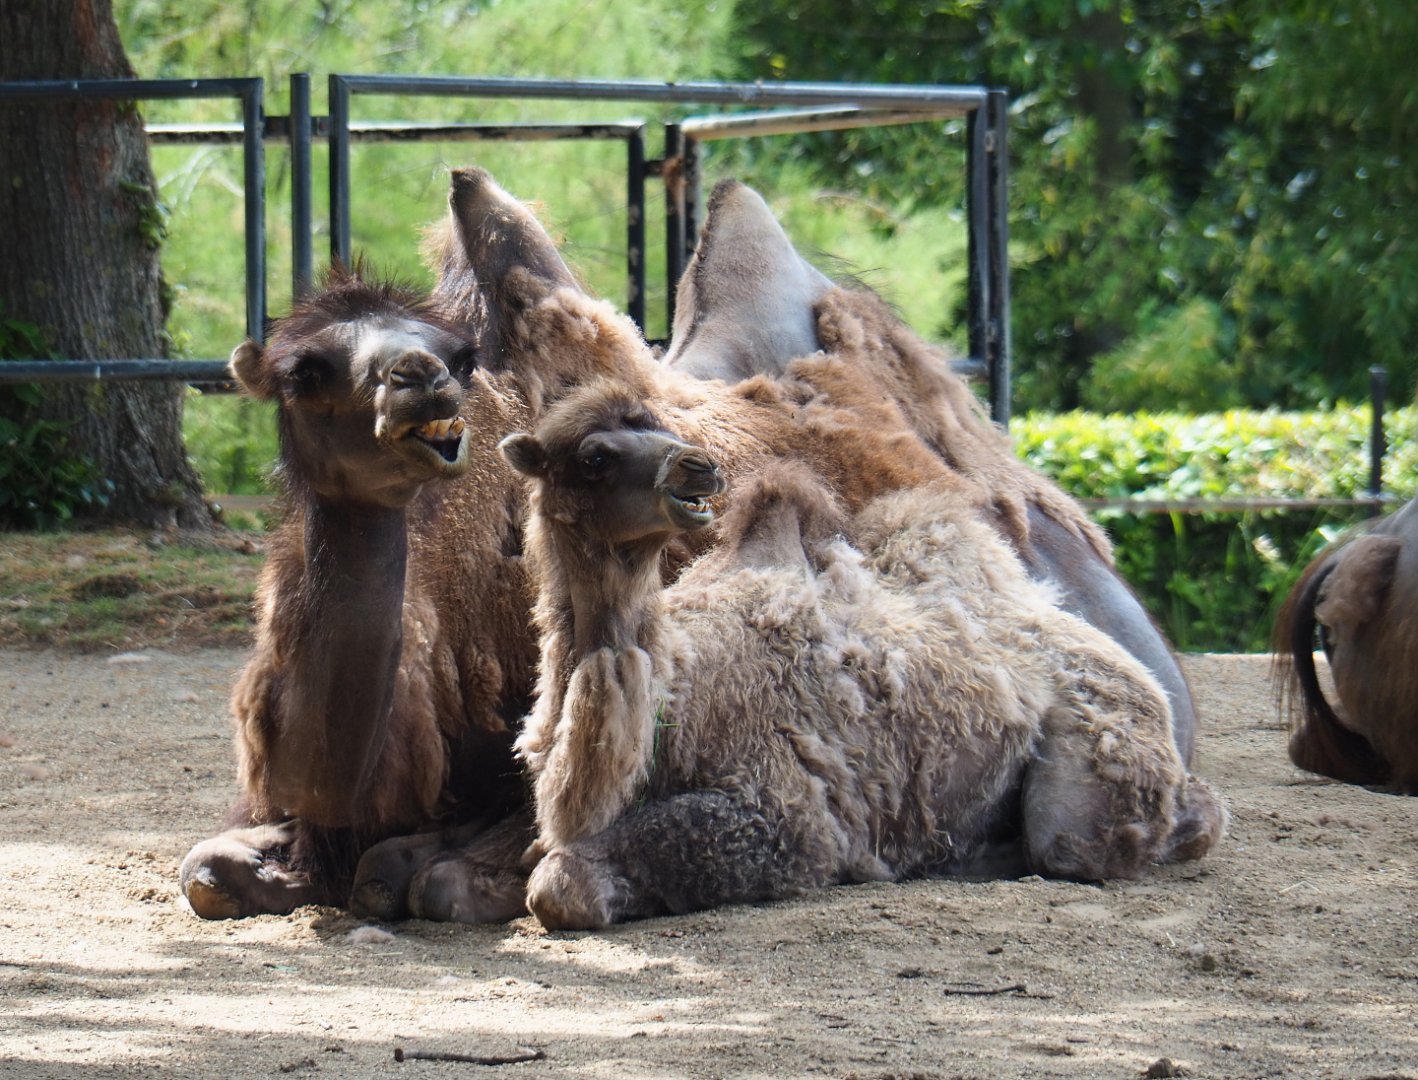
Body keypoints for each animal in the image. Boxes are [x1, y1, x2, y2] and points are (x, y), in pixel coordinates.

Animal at [499, 381, 1226, 930]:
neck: (673, 688)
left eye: (656, 424)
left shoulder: (787, 816)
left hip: (1097, 753)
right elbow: (543, 866)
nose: (695, 467)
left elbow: (560, 884)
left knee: (1096, 837)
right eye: (594, 456)